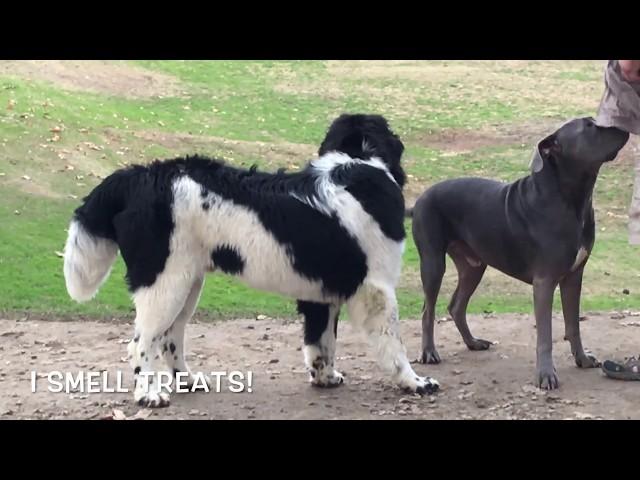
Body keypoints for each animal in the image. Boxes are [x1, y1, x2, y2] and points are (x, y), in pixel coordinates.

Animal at [63, 114, 440, 406]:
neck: (359, 161)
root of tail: (140, 176)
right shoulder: (376, 289)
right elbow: (393, 344)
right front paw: (415, 382)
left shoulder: (320, 292)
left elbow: (321, 341)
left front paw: (325, 377)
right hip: (164, 283)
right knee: (141, 343)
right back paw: (149, 395)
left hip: (186, 282)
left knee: (171, 337)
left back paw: (187, 381)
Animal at [408, 117, 628, 390]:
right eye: (588, 126)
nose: (623, 127)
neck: (570, 198)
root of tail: (419, 200)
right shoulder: (544, 281)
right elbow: (545, 334)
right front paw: (546, 375)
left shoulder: (573, 277)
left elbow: (573, 323)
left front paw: (583, 359)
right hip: (433, 262)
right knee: (428, 310)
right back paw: (429, 352)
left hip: (473, 266)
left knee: (456, 305)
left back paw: (473, 342)